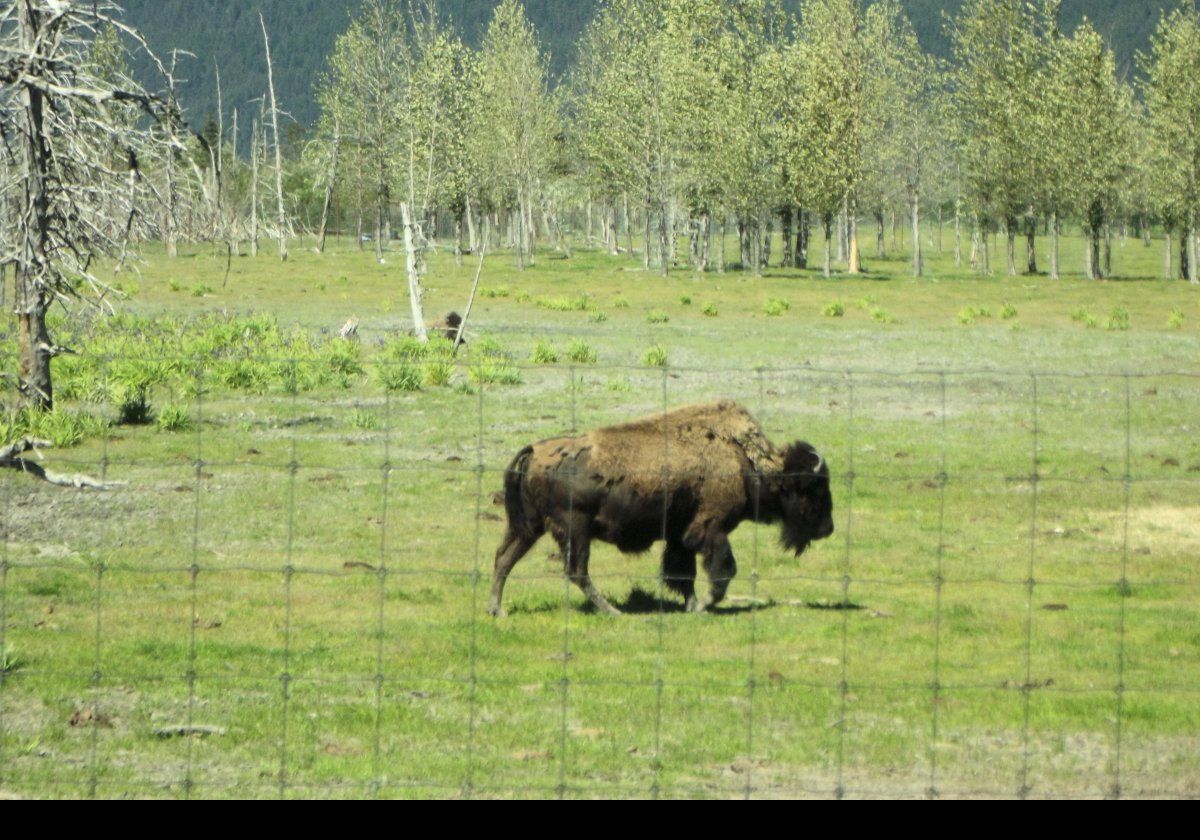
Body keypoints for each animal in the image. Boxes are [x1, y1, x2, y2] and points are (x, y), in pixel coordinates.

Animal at [487, 400, 835, 619]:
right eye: (813, 488)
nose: (828, 527)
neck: (744, 459)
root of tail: (534, 451)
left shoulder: (680, 536)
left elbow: (683, 573)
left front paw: (692, 605)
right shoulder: (710, 528)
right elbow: (722, 569)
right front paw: (704, 605)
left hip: (529, 527)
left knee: (504, 558)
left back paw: (497, 609)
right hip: (574, 529)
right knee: (576, 570)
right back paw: (612, 611)